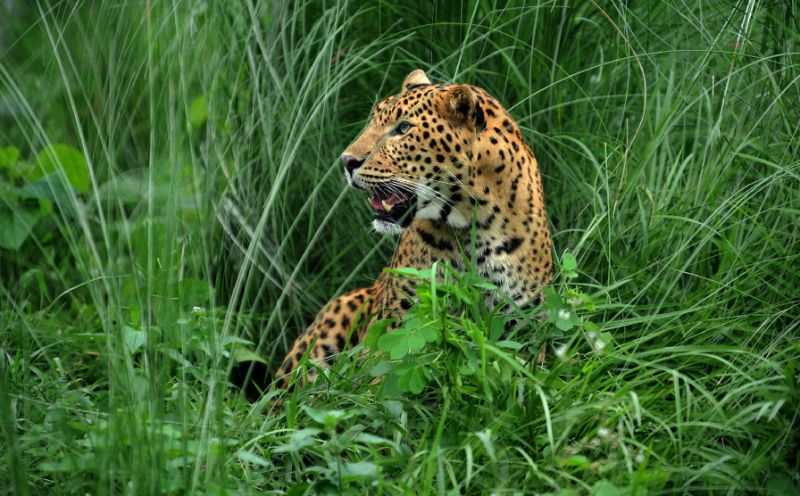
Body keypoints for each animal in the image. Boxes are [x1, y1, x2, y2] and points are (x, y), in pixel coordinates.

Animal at [272, 69, 552, 388]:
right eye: (373, 120)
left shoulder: (524, 327)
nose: (346, 161)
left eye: (403, 128)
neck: (474, 226)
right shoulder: (399, 324)